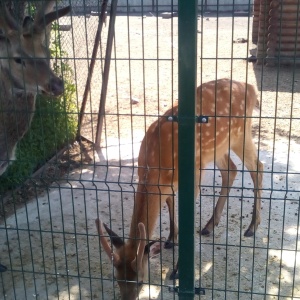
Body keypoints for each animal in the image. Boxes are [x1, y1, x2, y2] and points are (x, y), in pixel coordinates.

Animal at [96, 78, 262, 298]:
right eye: (117, 279)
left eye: (140, 281)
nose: (127, 298)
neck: (155, 166)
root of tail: (250, 88)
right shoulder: (167, 184)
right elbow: (170, 203)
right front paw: (170, 239)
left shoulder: (194, 175)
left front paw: (177, 270)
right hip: (218, 148)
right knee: (232, 170)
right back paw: (209, 226)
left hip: (241, 134)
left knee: (258, 168)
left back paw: (251, 227)